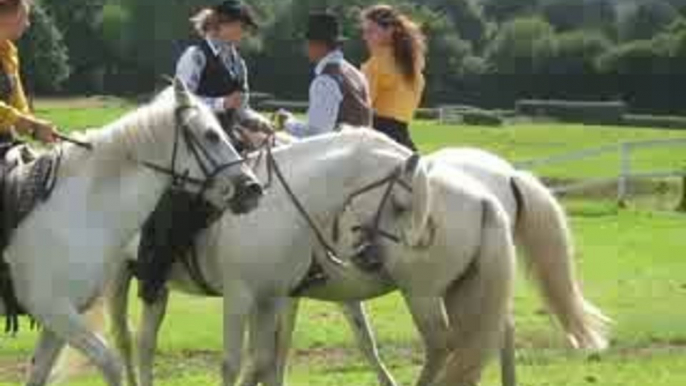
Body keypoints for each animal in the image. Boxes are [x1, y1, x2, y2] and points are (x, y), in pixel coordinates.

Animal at [4, 78, 264, 386]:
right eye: (211, 135)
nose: (252, 189)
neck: (78, 209)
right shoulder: (52, 307)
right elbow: (109, 362)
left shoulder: (61, 315)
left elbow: (39, 374)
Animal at [103, 128, 516, 384]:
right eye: (400, 204)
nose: (370, 255)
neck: (281, 206)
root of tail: (484, 197)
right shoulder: (245, 296)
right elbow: (246, 361)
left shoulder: (274, 297)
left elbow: (268, 358)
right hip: (125, 278)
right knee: (129, 341)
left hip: (431, 293)